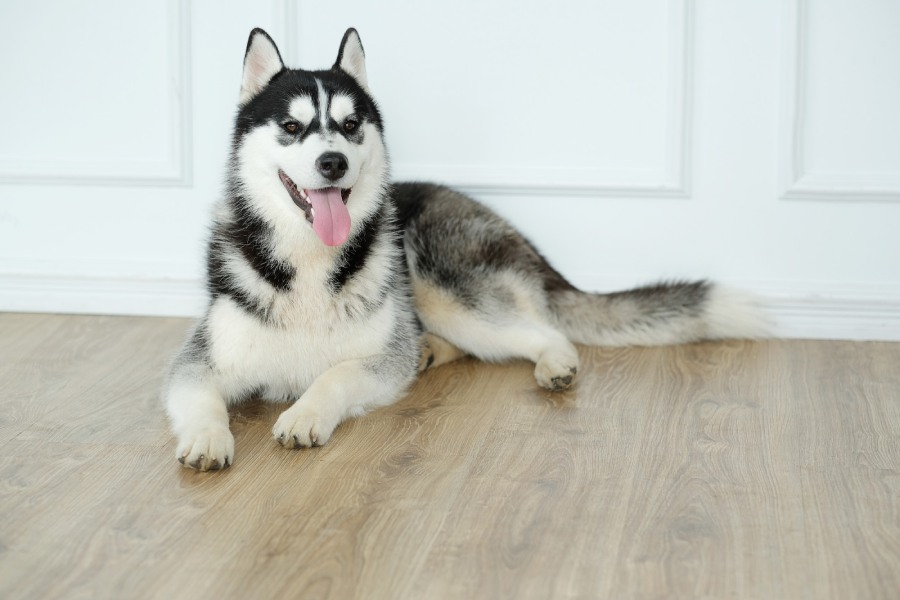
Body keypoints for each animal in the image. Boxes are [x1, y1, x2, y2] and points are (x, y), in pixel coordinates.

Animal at [163, 27, 768, 468]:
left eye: (351, 124)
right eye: (292, 127)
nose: (332, 162)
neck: (310, 260)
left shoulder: (381, 361)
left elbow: (333, 375)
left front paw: (305, 413)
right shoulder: (197, 363)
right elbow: (199, 395)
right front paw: (208, 437)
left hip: (436, 277)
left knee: (543, 332)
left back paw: (552, 363)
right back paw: (433, 352)